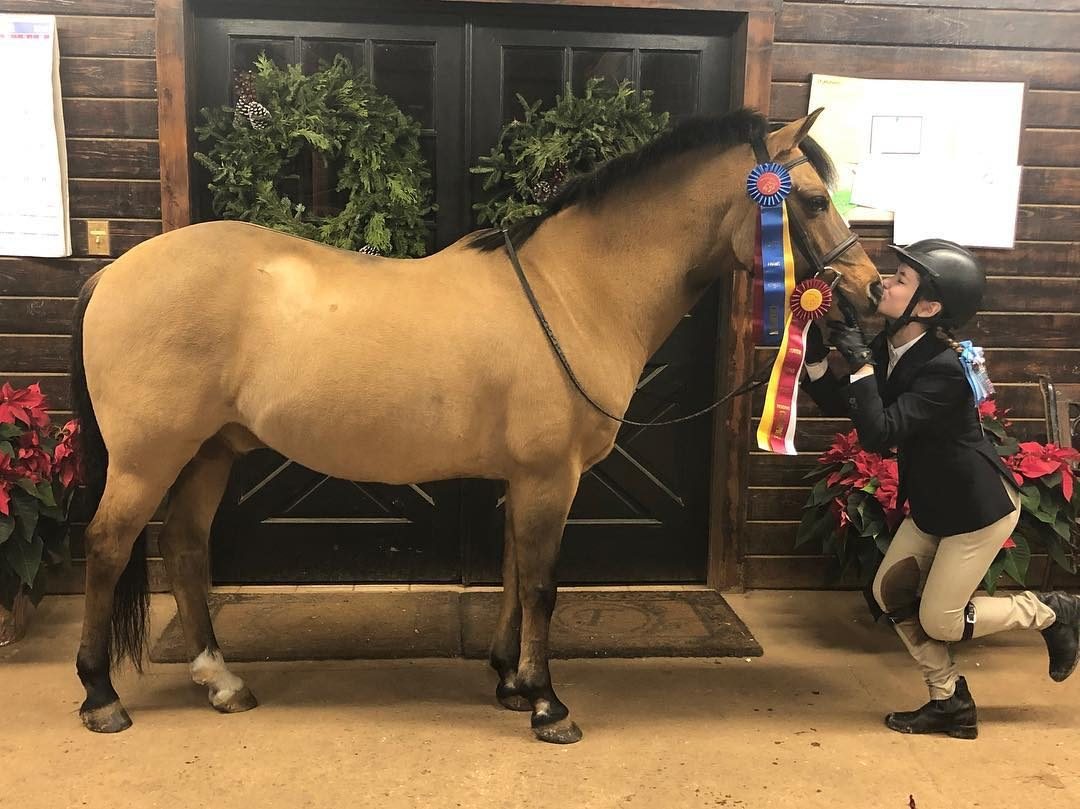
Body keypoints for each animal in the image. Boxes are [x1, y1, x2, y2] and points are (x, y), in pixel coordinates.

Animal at [70, 108, 881, 744]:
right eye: (811, 199)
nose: (873, 291)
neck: (576, 289)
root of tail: (113, 273)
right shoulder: (552, 476)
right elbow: (544, 583)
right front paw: (549, 705)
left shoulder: (529, 477)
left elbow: (516, 573)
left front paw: (511, 682)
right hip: (149, 458)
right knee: (108, 547)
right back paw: (101, 696)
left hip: (208, 451)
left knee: (184, 548)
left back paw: (221, 681)